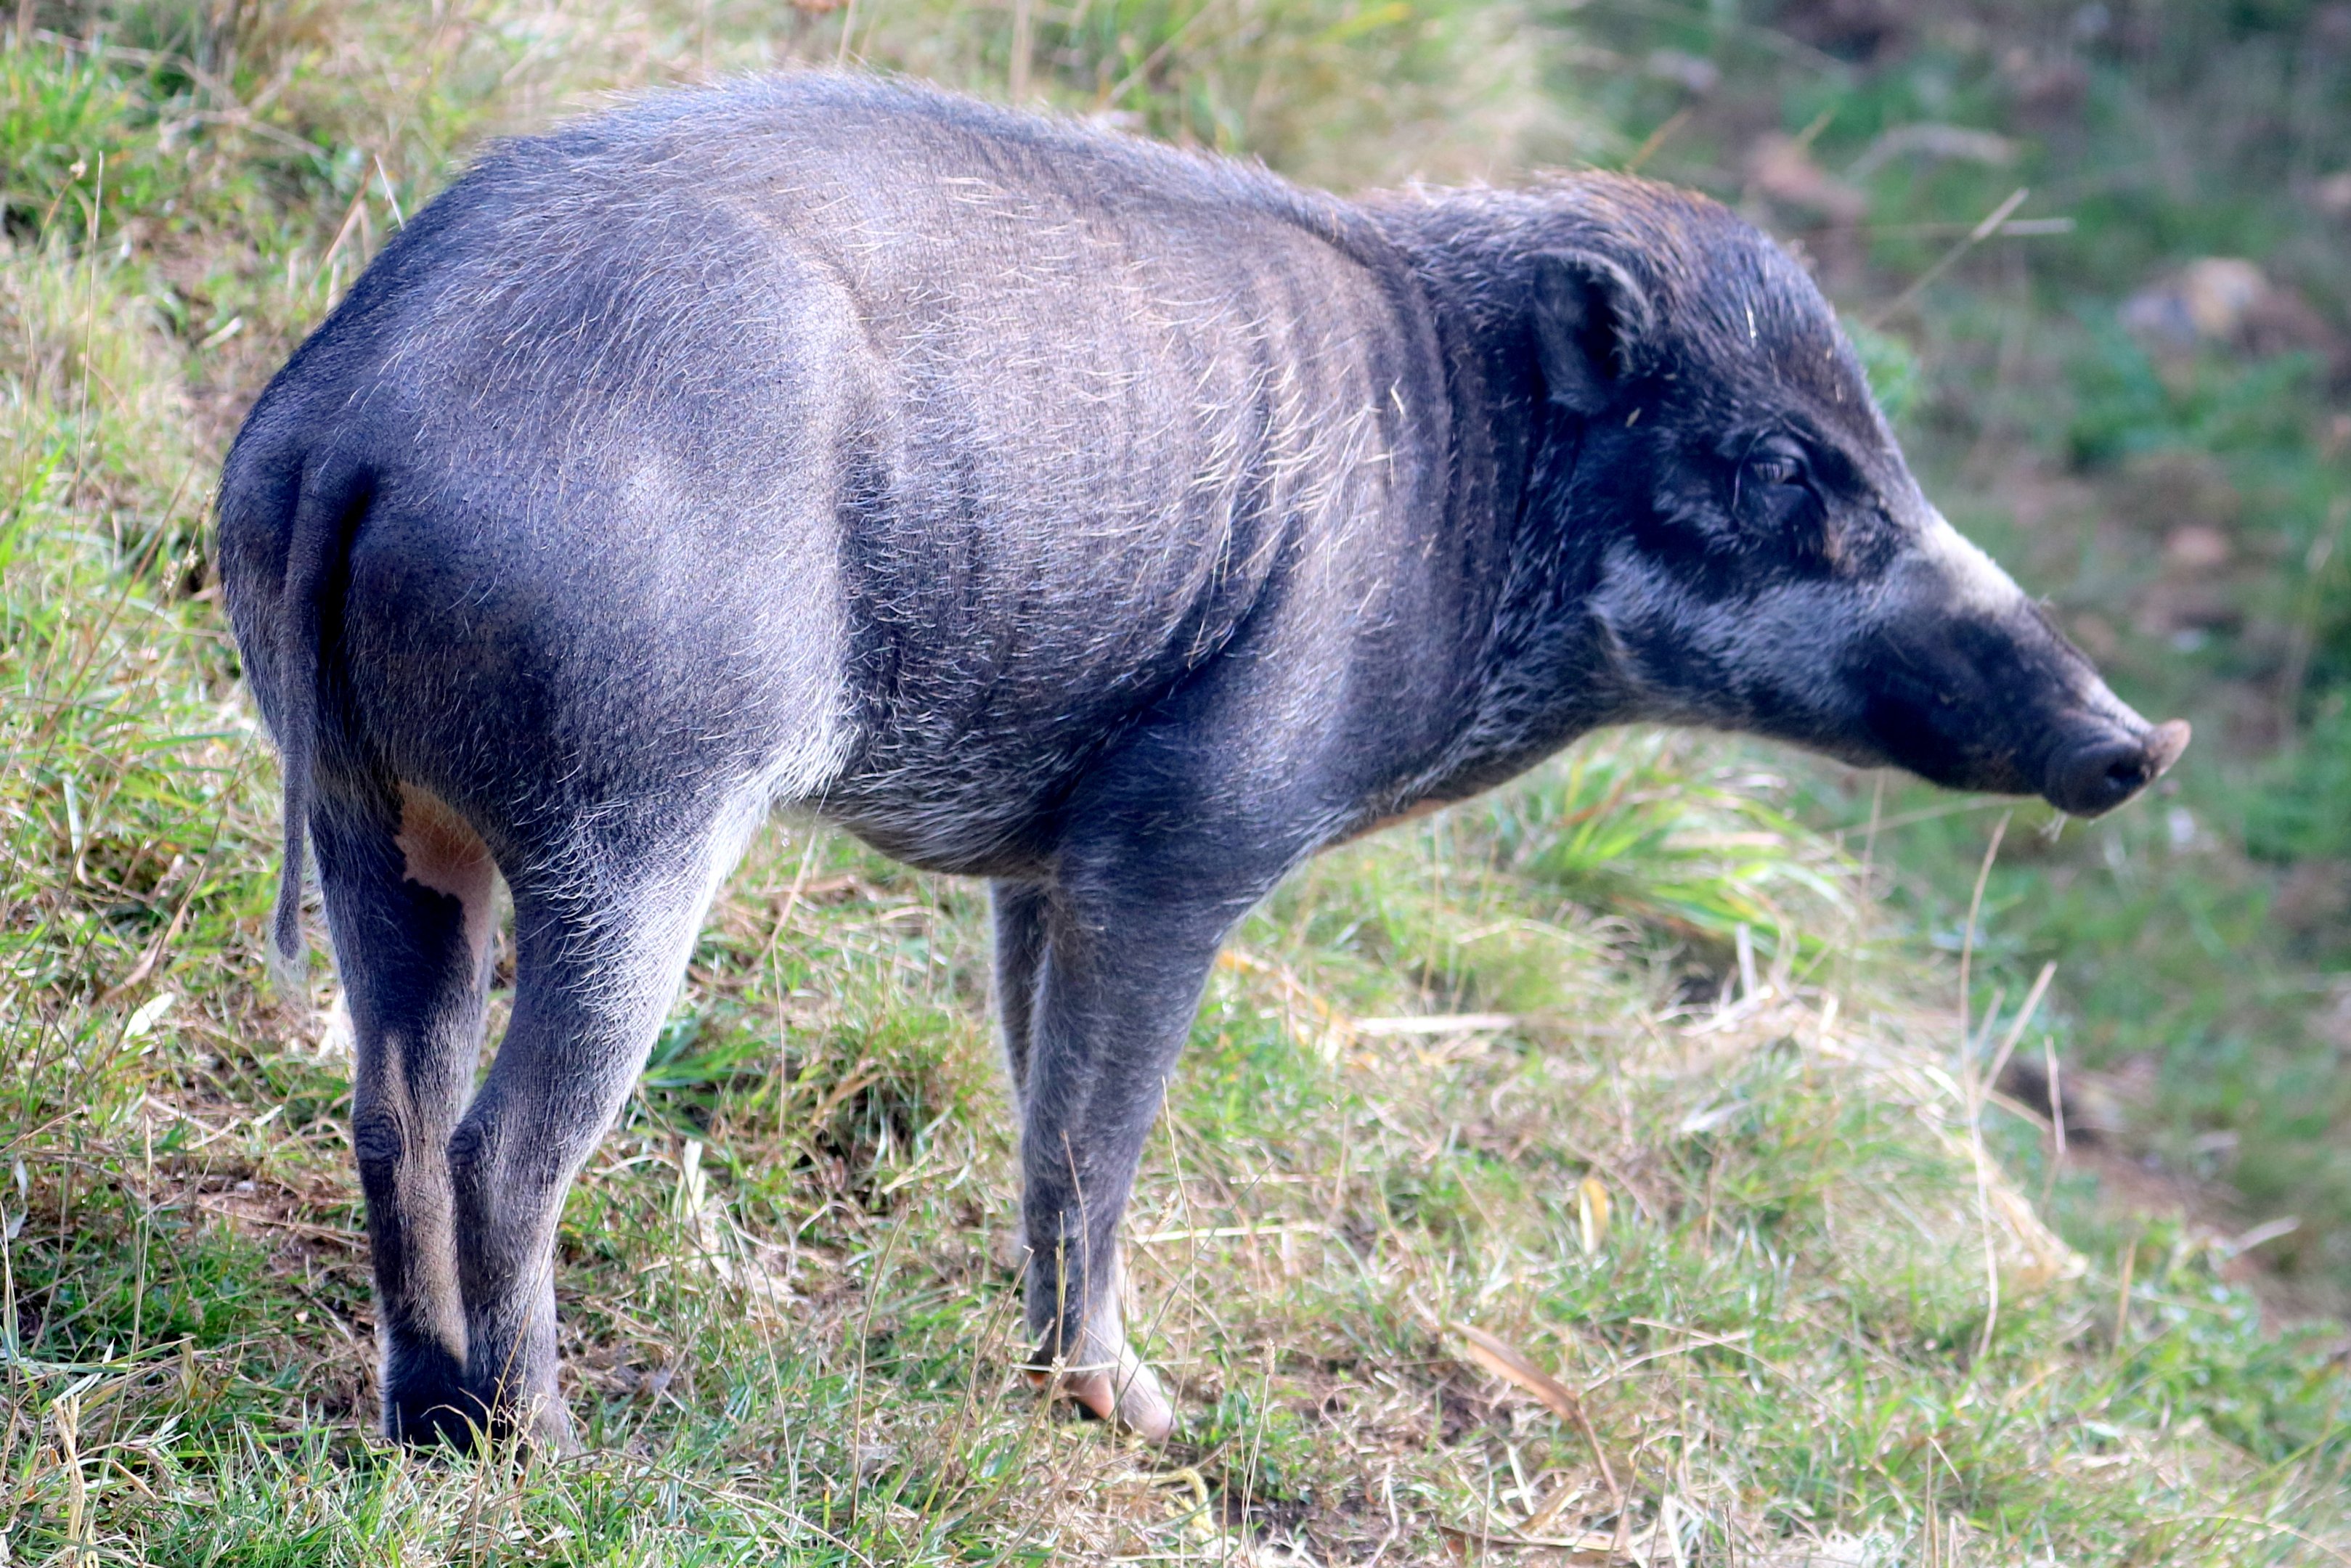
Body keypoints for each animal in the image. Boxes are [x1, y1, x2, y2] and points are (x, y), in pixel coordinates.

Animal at [215, 73, 2186, 1450]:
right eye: (1785, 465)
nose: (2134, 743)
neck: (1475, 497)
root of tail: (354, 416)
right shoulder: (1187, 843)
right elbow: (1100, 1138)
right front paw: (1149, 1415)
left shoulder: (1042, 858)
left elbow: (1034, 1117)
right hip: (635, 809)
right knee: (502, 1139)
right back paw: (550, 1439)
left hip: (375, 810)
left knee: (390, 1104)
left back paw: (428, 1418)